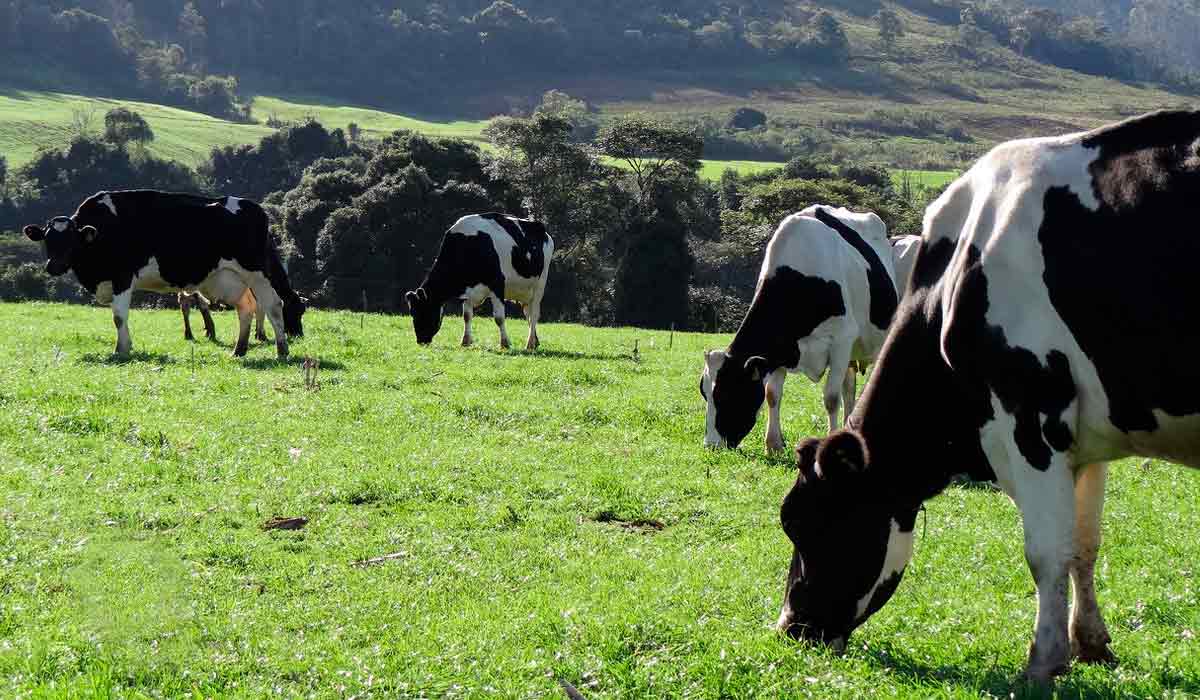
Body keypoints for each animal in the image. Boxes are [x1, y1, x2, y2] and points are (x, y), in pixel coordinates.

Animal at [24, 190, 304, 357]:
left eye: (71, 241)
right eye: (48, 240)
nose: (53, 266)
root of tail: (256, 208)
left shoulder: (122, 277)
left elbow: (119, 317)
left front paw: (121, 350)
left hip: (257, 273)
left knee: (272, 305)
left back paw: (281, 350)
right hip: (229, 278)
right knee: (246, 307)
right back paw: (239, 349)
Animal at [403, 210, 552, 348]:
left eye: (423, 311)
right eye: (412, 313)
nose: (421, 341)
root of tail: (542, 230)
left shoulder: (497, 284)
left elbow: (499, 318)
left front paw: (505, 343)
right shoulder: (468, 289)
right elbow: (467, 316)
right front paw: (465, 341)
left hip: (539, 285)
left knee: (534, 314)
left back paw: (530, 344)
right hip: (523, 291)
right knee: (528, 313)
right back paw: (535, 341)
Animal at [700, 204, 897, 453]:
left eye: (727, 393)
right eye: (704, 393)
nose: (711, 445)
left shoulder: (841, 340)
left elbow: (831, 398)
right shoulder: (778, 348)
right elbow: (772, 394)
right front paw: (773, 444)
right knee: (849, 388)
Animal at [772, 112, 1200, 681]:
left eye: (802, 522)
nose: (791, 627)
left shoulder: (1028, 418)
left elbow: (1045, 552)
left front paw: (1043, 662)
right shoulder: (1086, 438)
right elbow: (1084, 543)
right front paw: (1090, 643)